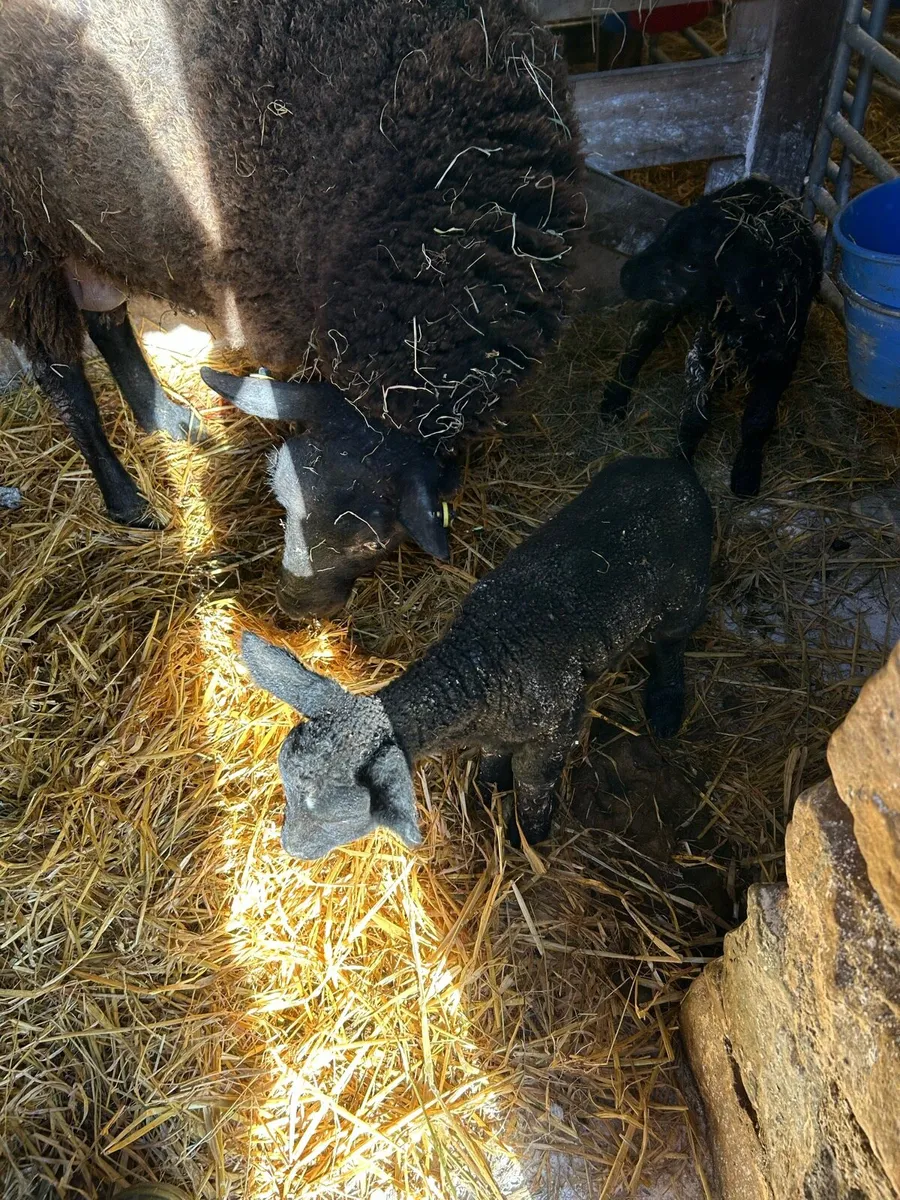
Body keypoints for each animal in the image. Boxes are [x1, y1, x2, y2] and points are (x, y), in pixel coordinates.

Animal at [0, 0, 583, 607]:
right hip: (20, 237)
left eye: (375, 543)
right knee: (61, 378)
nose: (293, 608)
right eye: (281, 497)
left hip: (85, 223)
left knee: (108, 321)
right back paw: (128, 501)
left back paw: (165, 417)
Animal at [240, 454, 713, 857]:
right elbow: (492, 757)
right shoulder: (497, 727)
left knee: (672, 642)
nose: (291, 850)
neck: (480, 662)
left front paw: (528, 837)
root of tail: (674, 465)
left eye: (342, 815)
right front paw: (486, 791)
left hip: (686, 589)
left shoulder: (556, 725)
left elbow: (534, 785)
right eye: (286, 784)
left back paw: (666, 706)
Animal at [601, 177, 822, 499]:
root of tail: (758, 181)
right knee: (639, 342)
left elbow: (758, 420)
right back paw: (613, 401)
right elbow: (695, 415)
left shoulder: (783, 356)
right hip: (668, 304)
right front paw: (679, 463)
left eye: (692, 264)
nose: (625, 276)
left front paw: (746, 473)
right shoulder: (704, 348)